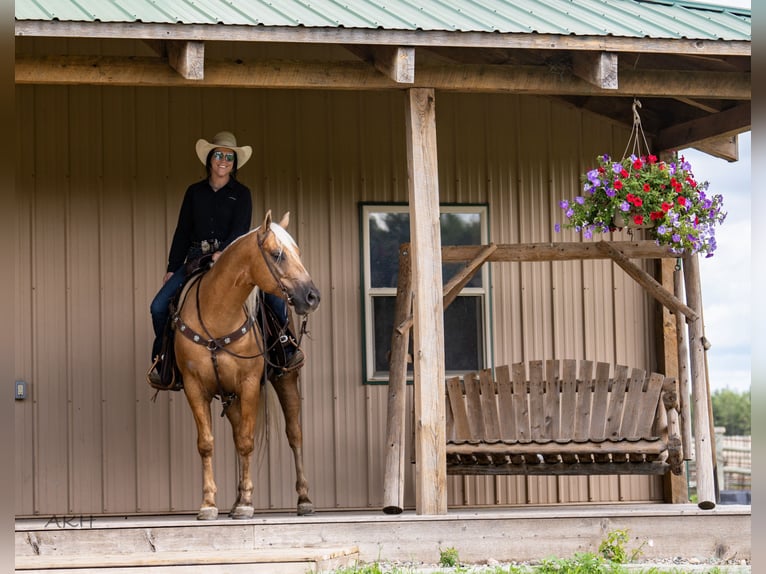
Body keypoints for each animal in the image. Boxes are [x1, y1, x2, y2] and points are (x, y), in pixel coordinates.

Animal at [172, 210, 320, 520]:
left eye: (298, 253)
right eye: (277, 255)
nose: (312, 297)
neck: (218, 315)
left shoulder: (250, 384)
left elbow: (246, 441)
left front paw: (246, 504)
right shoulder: (194, 387)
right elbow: (207, 443)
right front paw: (209, 503)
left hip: (285, 379)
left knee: (294, 434)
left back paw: (303, 499)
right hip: (230, 397)